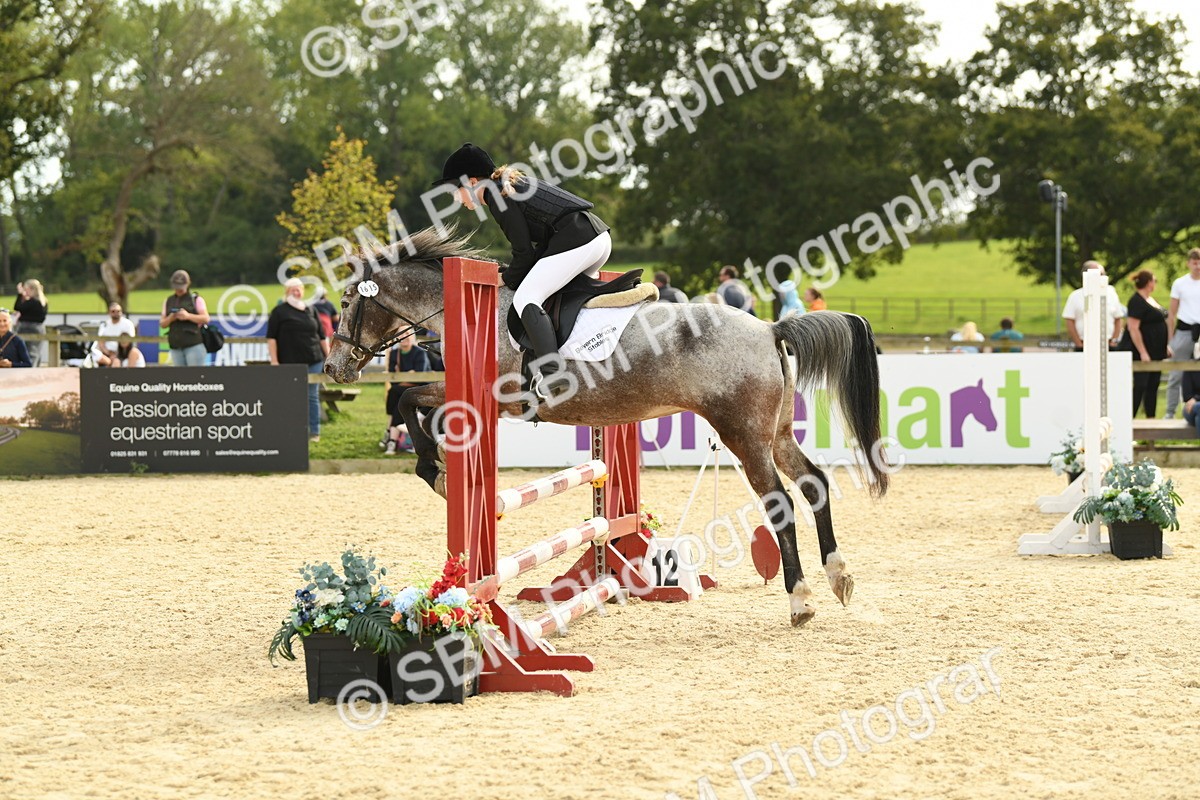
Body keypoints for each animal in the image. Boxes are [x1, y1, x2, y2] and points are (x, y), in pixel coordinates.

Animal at [324, 226, 889, 627]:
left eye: (347, 304)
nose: (333, 369)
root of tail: (771, 326)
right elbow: (413, 401)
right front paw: (436, 466)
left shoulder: (493, 398)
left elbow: (409, 401)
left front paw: (435, 469)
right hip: (776, 433)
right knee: (813, 483)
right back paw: (838, 577)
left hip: (744, 436)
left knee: (780, 502)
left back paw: (800, 601)